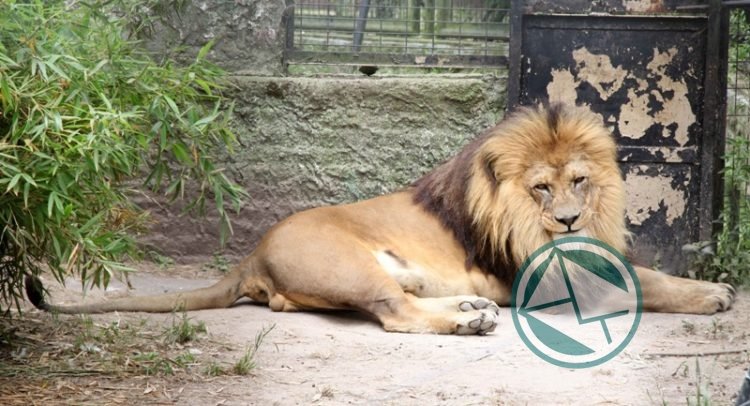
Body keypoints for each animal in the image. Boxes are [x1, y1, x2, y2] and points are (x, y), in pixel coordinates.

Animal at [26, 105, 736, 335]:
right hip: (350, 266)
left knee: (403, 301)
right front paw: (714, 293)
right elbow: (649, 284)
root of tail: (251, 253)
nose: (566, 221)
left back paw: (472, 310)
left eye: (579, 181)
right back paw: (470, 321)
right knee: (394, 314)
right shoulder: (561, 277)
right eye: (541, 187)